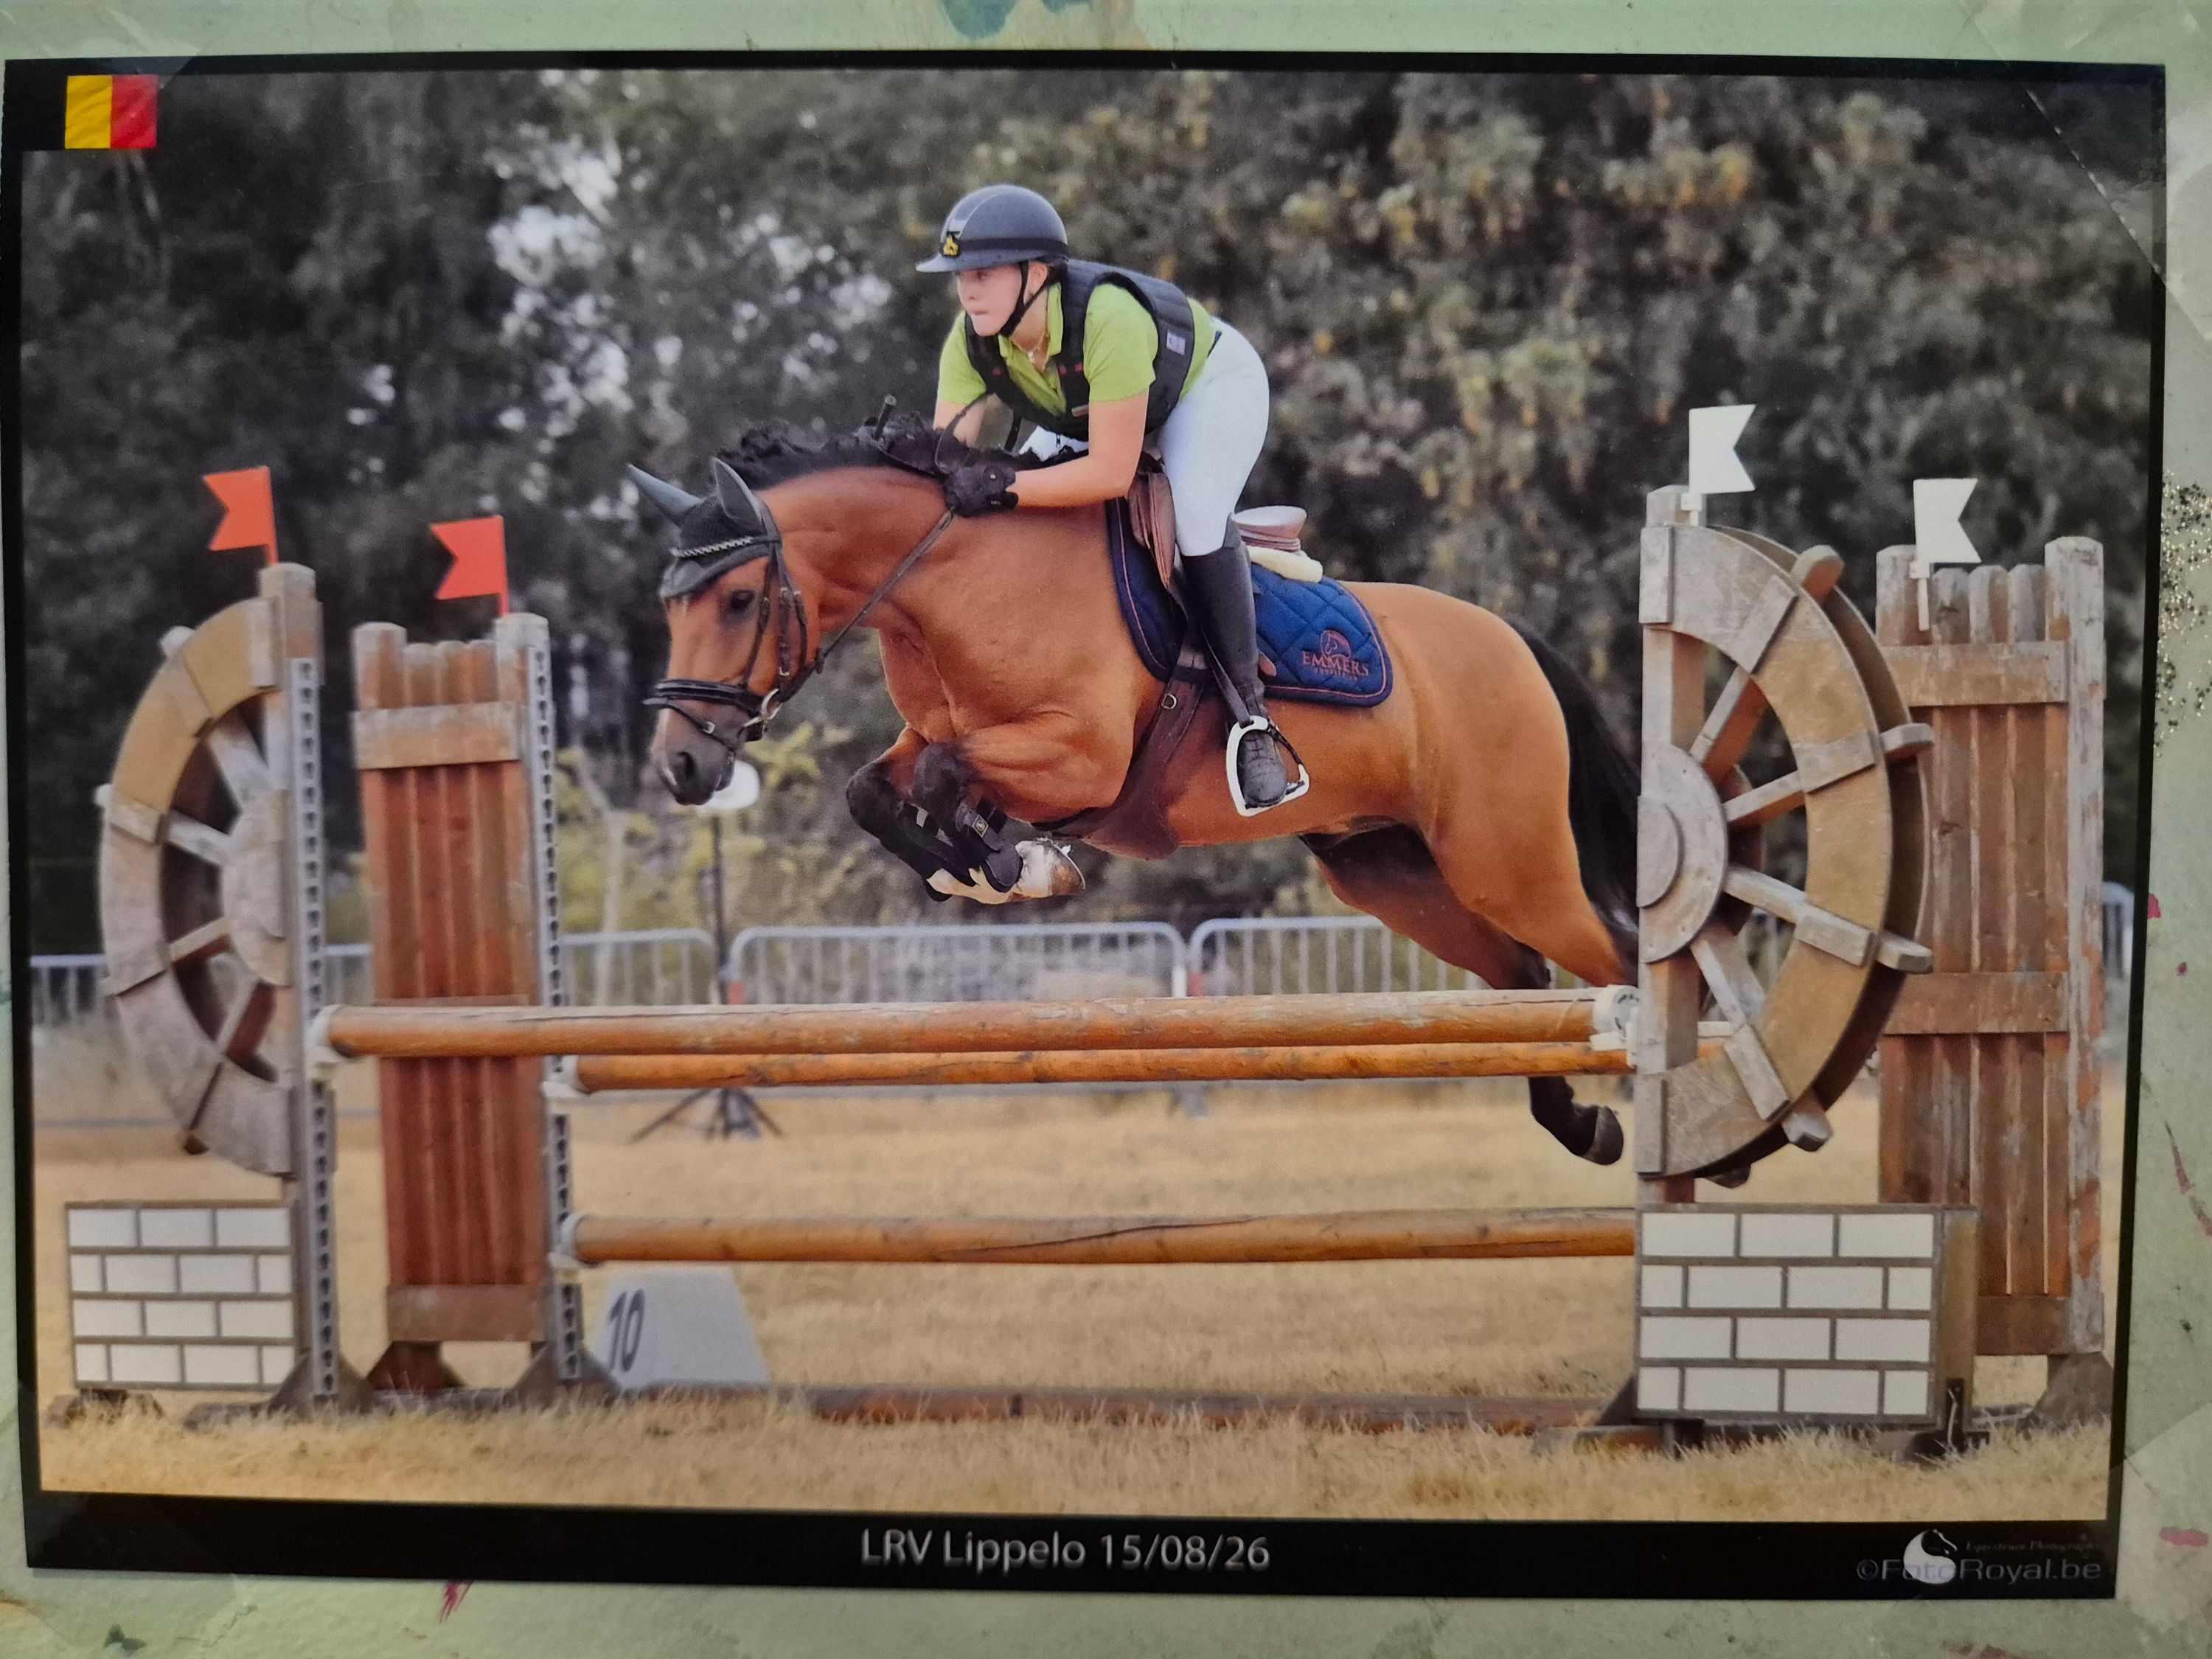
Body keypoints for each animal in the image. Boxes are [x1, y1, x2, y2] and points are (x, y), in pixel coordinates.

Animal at [636, 417, 1643, 1165]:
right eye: (669, 606)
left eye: (736, 601)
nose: (680, 765)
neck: (960, 584)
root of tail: (1514, 639)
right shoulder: (934, 734)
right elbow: (874, 790)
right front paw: (977, 865)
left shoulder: (1082, 757)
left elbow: (943, 775)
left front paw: (1012, 863)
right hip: (1392, 872)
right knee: (1523, 978)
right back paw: (1585, 1127)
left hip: (1510, 865)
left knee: (1617, 961)